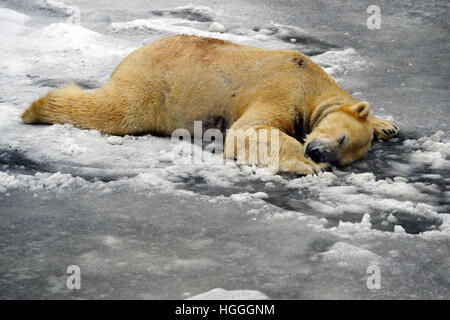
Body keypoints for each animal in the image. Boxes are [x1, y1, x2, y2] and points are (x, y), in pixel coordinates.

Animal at [22, 34, 400, 174]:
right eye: (341, 138)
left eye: (343, 154)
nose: (318, 153)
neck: (312, 82)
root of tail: (132, 55)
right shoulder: (284, 87)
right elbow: (249, 131)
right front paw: (304, 165)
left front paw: (387, 125)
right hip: (155, 86)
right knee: (116, 110)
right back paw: (36, 108)